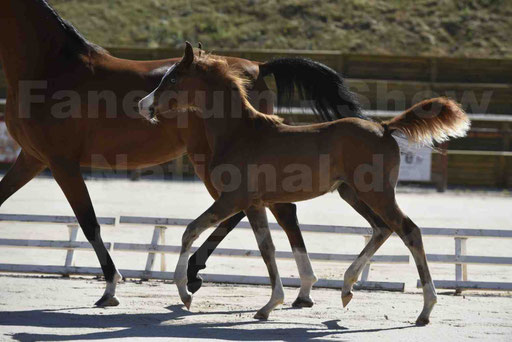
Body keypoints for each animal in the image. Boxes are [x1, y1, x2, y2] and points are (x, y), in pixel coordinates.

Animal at [0, 0, 364, 308]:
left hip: (214, 162)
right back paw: (297, 289)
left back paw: (200, 275)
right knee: (268, 211)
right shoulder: (32, 159)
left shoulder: (62, 163)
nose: (145, 105)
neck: (50, 68)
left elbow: (89, 224)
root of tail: (257, 65)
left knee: (259, 211)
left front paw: (111, 288)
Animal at [141, 44, 472, 324]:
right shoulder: (255, 203)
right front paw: (270, 305)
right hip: (352, 192)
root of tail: (384, 127)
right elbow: (267, 248)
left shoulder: (232, 199)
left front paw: (185, 293)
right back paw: (347, 288)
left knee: (409, 231)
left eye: (173, 78)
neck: (240, 133)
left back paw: (425, 309)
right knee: (382, 228)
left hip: (376, 193)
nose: (144, 106)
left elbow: (190, 231)